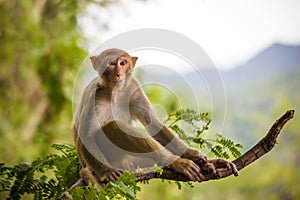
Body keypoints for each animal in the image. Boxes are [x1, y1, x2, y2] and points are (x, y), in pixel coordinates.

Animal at [71, 48, 238, 184]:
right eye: (111, 63)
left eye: (123, 63)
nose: (119, 73)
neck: (114, 92)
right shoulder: (94, 96)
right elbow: (85, 136)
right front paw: (107, 172)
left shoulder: (134, 88)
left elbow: (153, 124)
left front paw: (191, 153)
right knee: (112, 127)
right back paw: (176, 162)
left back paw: (205, 164)